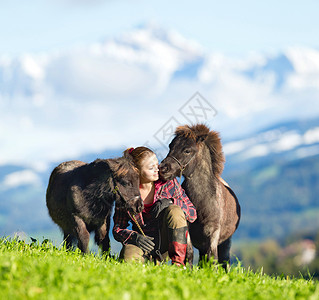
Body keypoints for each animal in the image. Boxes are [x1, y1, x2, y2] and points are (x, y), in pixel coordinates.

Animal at [160, 124, 240, 268]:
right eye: (170, 146)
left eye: (187, 150)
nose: (163, 169)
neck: (202, 202)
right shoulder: (188, 231)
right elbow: (189, 254)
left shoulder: (213, 232)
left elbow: (213, 258)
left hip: (225, 241)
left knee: (224, 261)